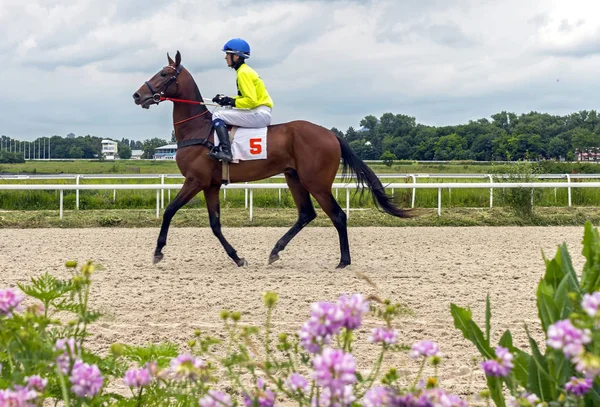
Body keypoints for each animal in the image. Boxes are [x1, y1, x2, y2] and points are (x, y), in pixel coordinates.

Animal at [132, 51, 412, 270]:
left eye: (164, 74)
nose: (137, 95)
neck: (198, 130)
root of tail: (331, 134)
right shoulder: (210, 185)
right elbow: (215, 224)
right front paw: (238, 257)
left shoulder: (194, 180)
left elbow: (169, 210)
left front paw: (158, 252)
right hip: (294, 177)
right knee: (306, 214)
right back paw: (276, 250)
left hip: (316, 182)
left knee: (338, 215)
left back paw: (343, 261)